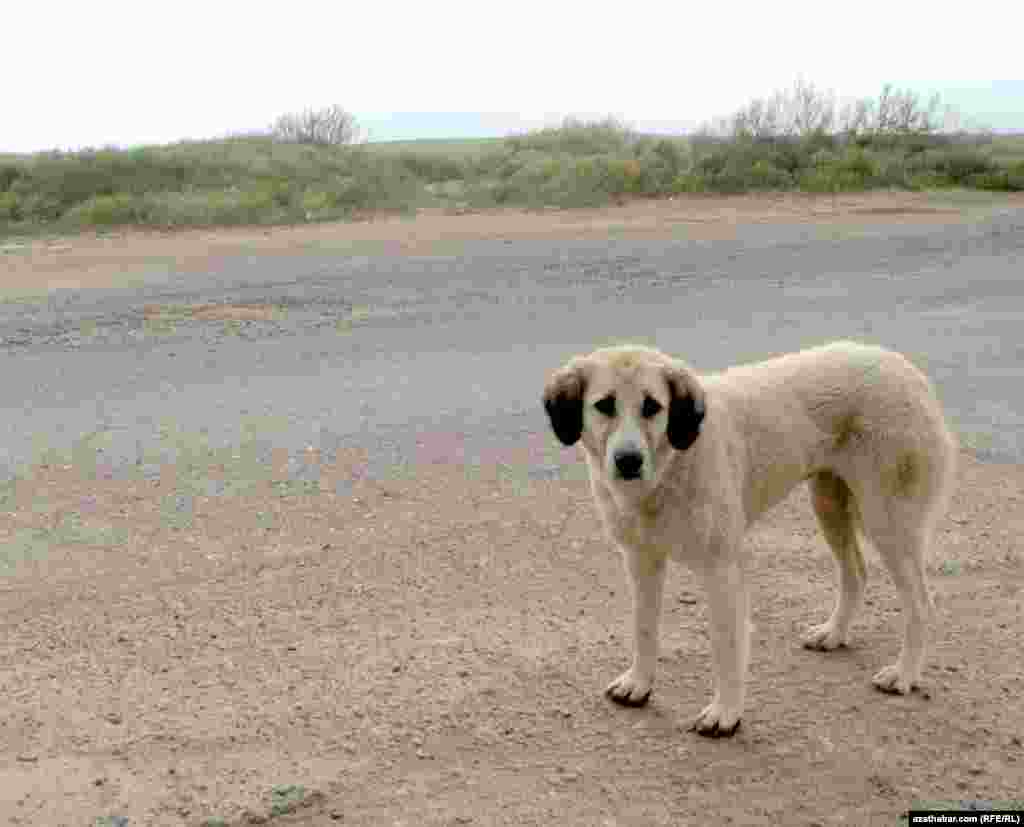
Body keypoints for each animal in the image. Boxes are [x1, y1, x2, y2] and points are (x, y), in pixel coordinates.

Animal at [544, 339, 958, 736]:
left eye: (653, 407)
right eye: (604, 405)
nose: (628, 461)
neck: (672, 466)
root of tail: (907, 369)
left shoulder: (722, 569)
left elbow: (726, 645)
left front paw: (725, 714)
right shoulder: (641, 560)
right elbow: (644, 630)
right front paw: (639, 684)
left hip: (887, 520)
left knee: (922, 605)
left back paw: (904, 674)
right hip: (829, 504)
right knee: (855, 572)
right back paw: (834, 634)